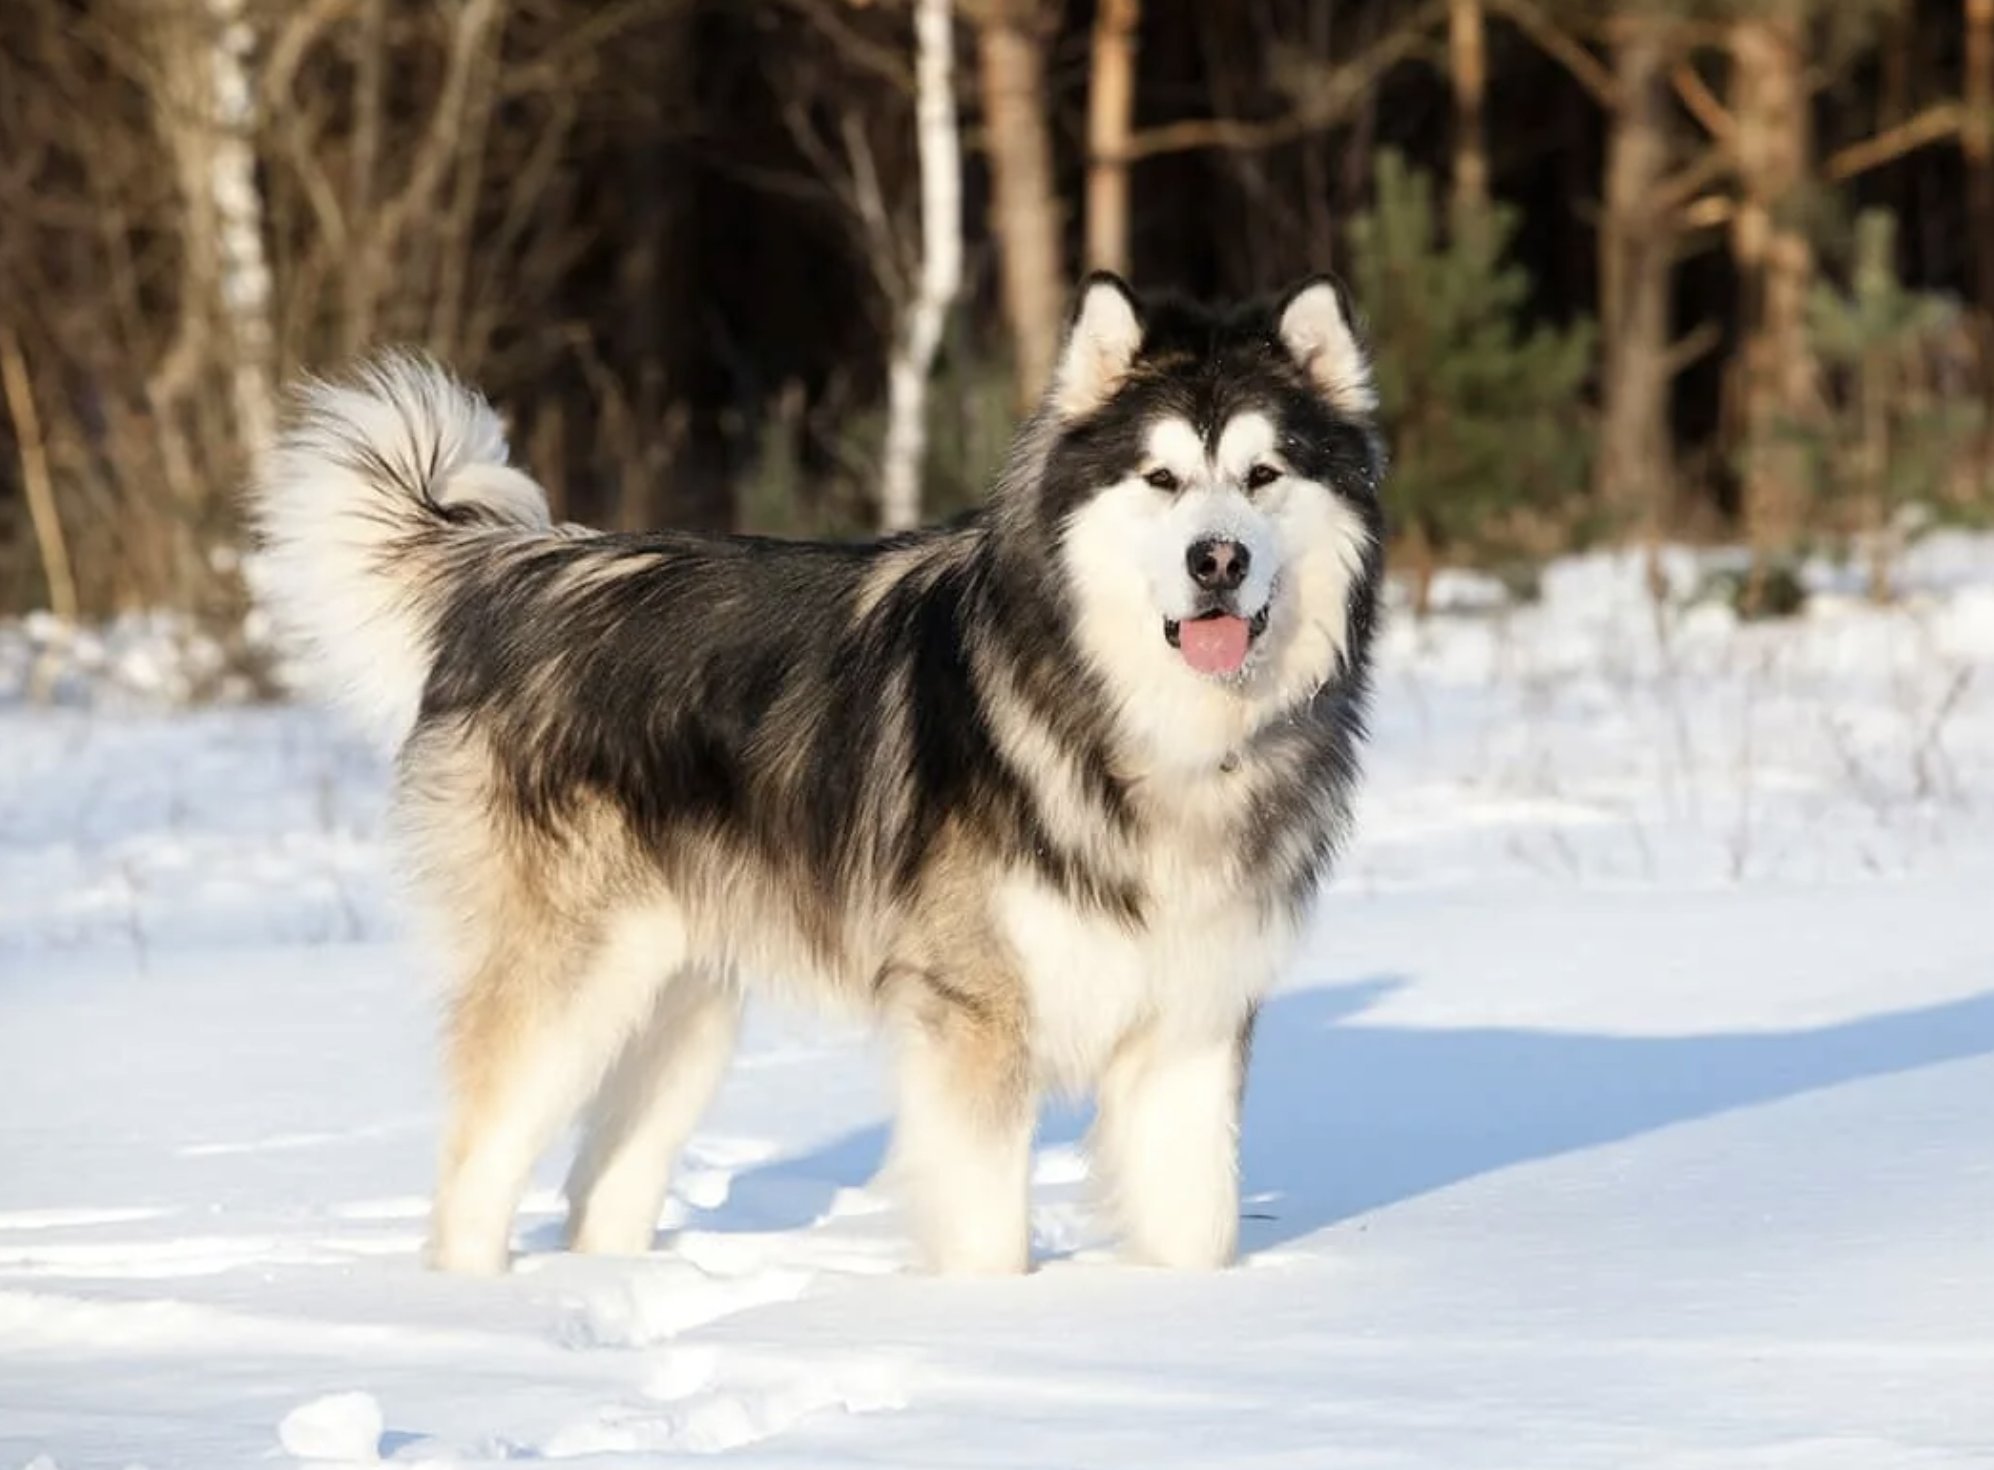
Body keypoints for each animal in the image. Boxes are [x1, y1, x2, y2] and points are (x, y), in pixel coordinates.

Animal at [249, 275, 1387, 1276]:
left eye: (1264, 477)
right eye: (1160, 480)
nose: (1216, 561)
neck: (1147, 726)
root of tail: (522, 571)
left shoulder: (1192, 1026)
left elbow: (1196, 1228)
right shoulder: (973, 1019)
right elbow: (988, 1234)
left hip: (683, 1009)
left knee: (599, 1192)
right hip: (567, 987)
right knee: (475, 1177)